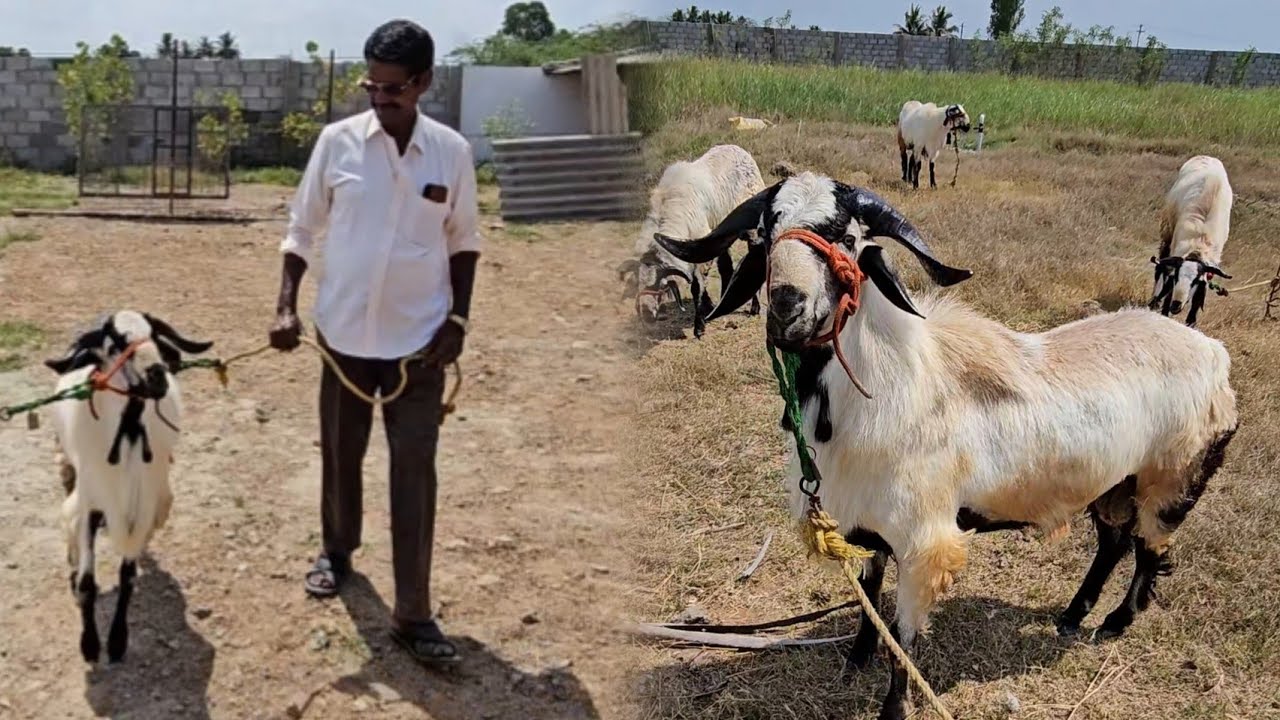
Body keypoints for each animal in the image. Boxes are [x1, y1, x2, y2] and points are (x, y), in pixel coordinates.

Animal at [44, 310, 213, 664]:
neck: (128, 438)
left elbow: (128, 578)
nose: (158, 377)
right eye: (116, 343)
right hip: (67, 463)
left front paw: (118, 641)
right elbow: (87, 582)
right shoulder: (90, 505)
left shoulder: (142, 509)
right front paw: (90, 645)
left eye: (153, 335)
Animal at [618, 144, 766, 337]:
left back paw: (755, 307)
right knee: (726, 267)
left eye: (662, 286)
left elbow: (696, 287)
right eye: (638, 284)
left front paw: (699, 326)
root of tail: (738, 149)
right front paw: (708, 307)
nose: (647, 315)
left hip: (752, 228)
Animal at [1149, 155, 1234, 326]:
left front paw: (1191, 323)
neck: (1198, 245)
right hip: (1167, 231)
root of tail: (1208, 156)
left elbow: (1195, 304)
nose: (1176, 306)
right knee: (1160, 265)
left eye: (1195, 281)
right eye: (1177, 277)